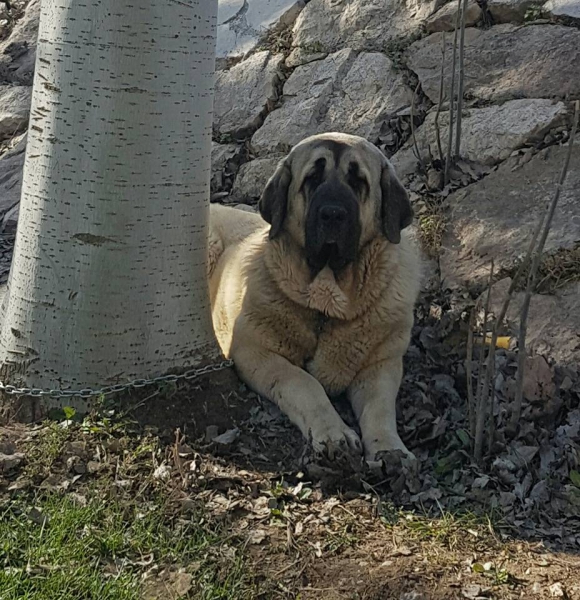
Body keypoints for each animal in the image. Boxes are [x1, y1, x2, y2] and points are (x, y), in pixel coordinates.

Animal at [208, 132, 422, 460]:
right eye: (313, 178)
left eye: (358, 180)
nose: (332, 213)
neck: (327, 303)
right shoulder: (254, 351)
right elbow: (305, 382)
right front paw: (335, 434)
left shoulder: (380, 364)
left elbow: (380, 408)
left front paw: (390, 450)